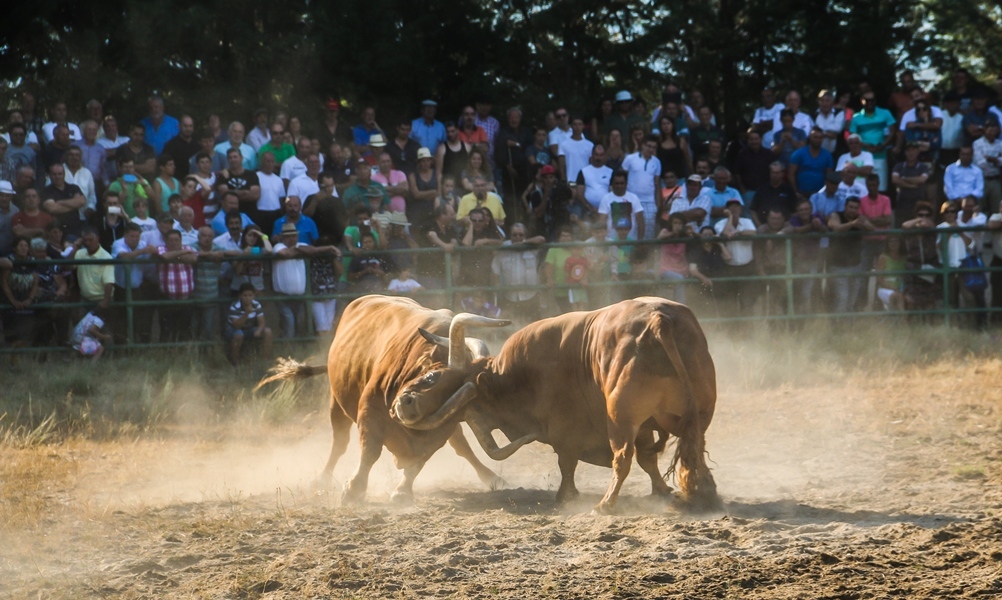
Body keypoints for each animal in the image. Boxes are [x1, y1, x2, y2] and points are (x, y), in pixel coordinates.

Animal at [256, 296, 517, 502]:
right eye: (432, 376)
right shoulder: (369, 410)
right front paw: (354, 488)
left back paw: (492, 477)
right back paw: (322, 478)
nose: (408, 406)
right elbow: (370, 451)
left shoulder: (441, 432)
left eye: (451, 408)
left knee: (462, 446)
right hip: (336, 403)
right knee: (339, 443)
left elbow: (418, 462)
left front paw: (402, 491)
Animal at [388, 296, 721, 510]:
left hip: (620, 418)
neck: (518, 375)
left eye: (432, 376)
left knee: (622, 458)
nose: (403, 403)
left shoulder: (566, 429)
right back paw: (706, 495)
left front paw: (566, 496)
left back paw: (606, 504)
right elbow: (648, 459)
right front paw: (661, 491)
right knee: (693, 450)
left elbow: (567, 462)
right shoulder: (645, 428)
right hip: (695, 415)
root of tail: (657, 319)